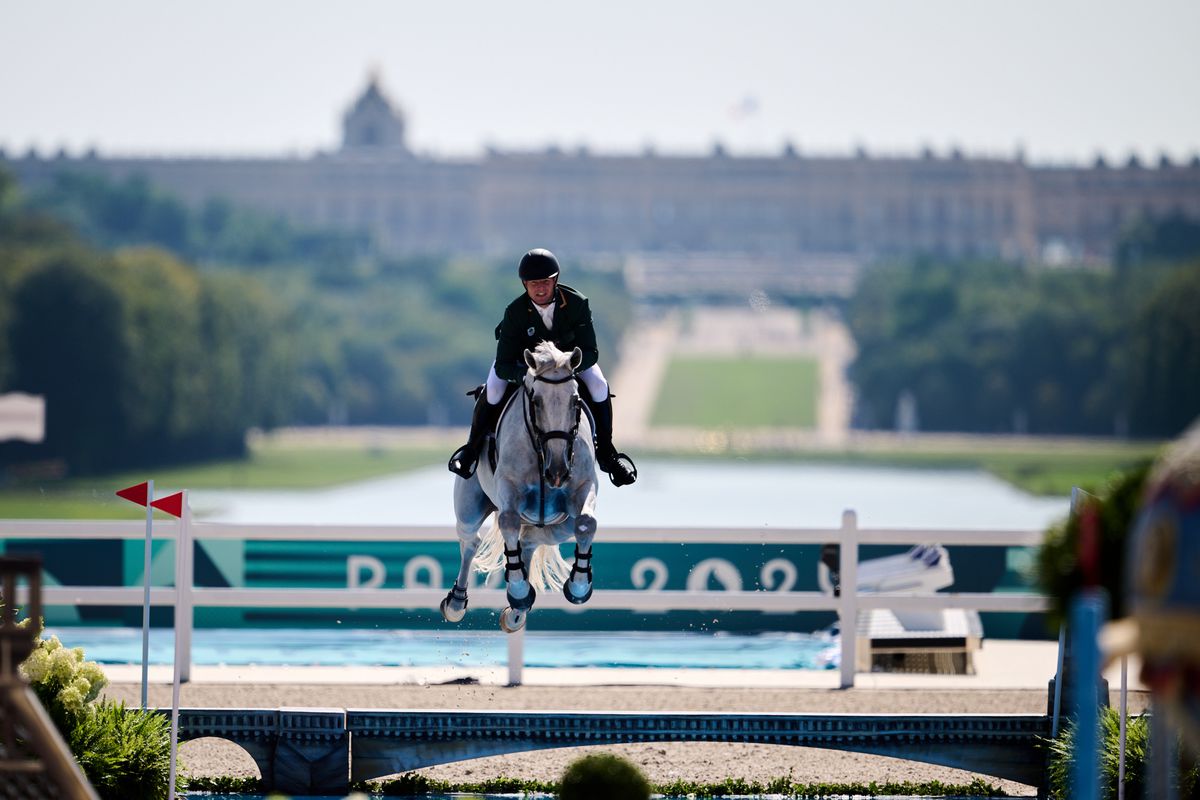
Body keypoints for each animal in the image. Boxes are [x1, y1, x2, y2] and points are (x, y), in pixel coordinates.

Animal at [444, 340, 597, 633]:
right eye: (536, 401)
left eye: (576, 401)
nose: (557, 472)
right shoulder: (509, 489)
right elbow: (509, 522)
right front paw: (517, 589)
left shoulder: (583, 488)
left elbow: (586, 524)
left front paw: (579, 587)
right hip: (468, 508)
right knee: (471, 541)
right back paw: (457, 603)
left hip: (559, 524)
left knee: (531, 539)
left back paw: (517, 610)